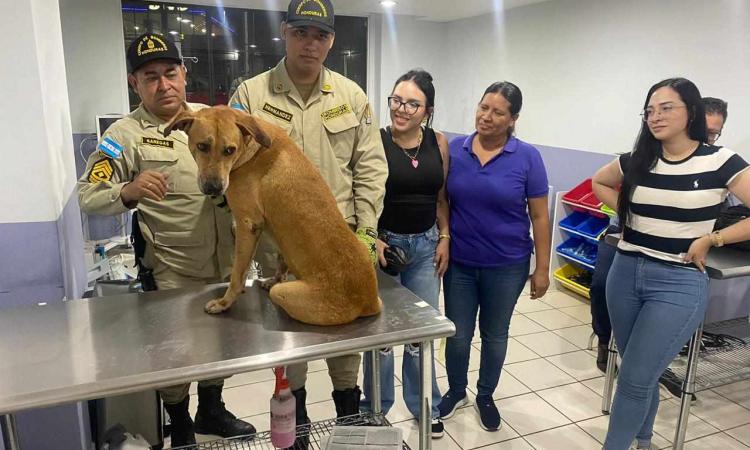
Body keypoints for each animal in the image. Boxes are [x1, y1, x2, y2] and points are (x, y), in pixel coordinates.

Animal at [164, 104, 382, 324]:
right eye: (202, 146)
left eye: (229, 150)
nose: (213, 188)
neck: (252, 148)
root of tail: (368, 302)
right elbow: (280, 260)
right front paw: (276, 277)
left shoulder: (247, 225)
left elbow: (237, 274)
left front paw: (224, 302)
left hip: (283, 294)